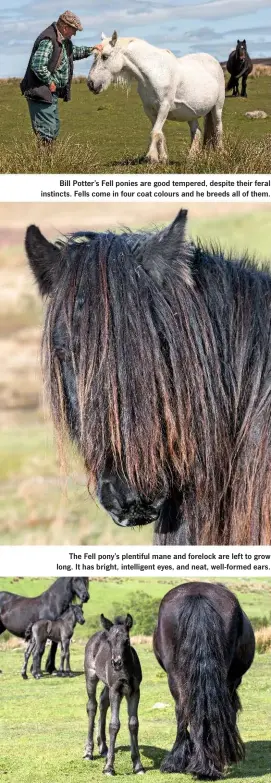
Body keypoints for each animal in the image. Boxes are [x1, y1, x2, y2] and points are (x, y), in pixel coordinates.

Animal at [84, 616, 144, 776]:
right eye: (109, 641)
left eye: (127, 640)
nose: (116, 663)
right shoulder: (116, 690)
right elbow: (114, 725)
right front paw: (109, 767)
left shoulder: (134, 691)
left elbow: (133, 724)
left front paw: (138, 765)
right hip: (91, 677)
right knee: (92, 706)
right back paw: (88, 752)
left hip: (107, 685)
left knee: (103, 702)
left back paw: (103, 747)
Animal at [88, 31, 225, 164]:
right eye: (94, 56)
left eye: (105, 56)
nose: (90, 83)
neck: (156, 72)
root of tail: (214, 61)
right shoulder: (149, 110)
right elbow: (159, 133)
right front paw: (162, 158)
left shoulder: (164, 106)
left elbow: (155, 132)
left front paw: (151, 157)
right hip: (191, 113)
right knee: (196, 132)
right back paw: (191, 158)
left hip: (217, 108)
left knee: (218, 129)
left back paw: (220, 154)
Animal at [154, 580, 256, 776]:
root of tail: (198, 593)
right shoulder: (234, 681)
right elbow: (231, 711)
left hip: (175, 676)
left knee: (181, 709)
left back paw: (178, 762)